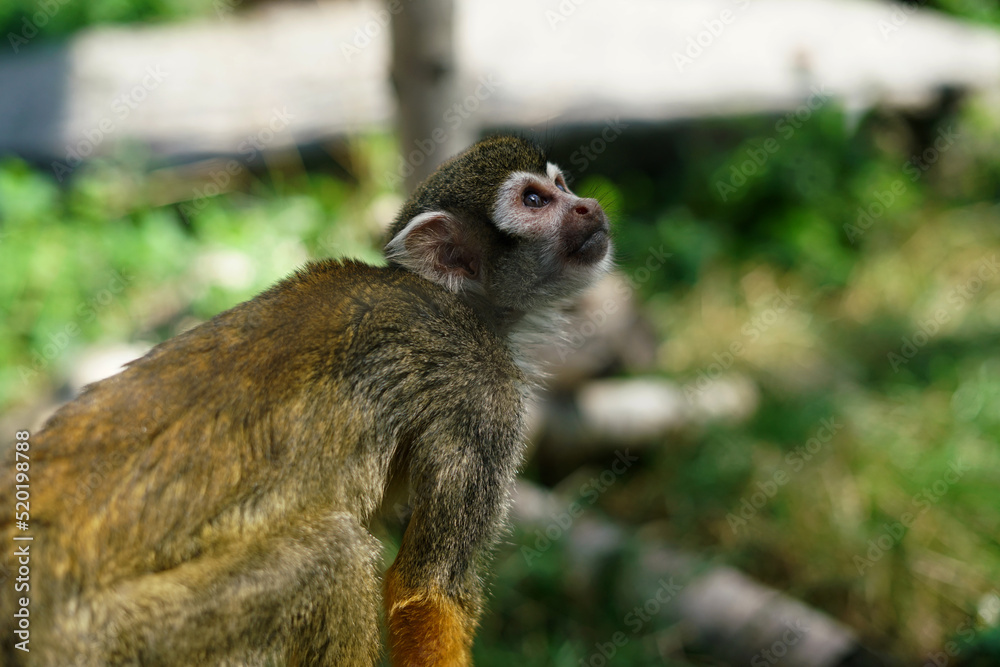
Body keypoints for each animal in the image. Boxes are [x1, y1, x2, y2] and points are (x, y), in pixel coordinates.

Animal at [0, 135, 612, 666]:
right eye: (535, 200)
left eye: (561, 184)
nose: (588, 207)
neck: (462, 302)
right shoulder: (482, 391)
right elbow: (428, 590)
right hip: (124, 640)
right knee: (334, 555)